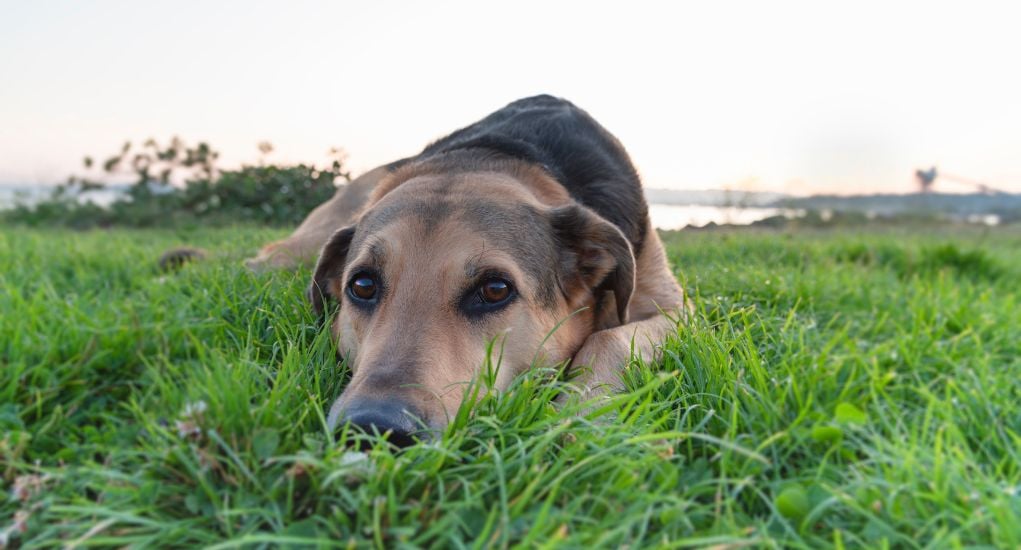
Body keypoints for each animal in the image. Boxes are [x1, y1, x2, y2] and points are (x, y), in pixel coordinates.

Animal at [247, 94, 686, 444]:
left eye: (495, 290)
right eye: (363, 284)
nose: (374, 427)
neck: (490, 158)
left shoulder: (678, 310)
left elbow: (609, 338)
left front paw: (580, 415)